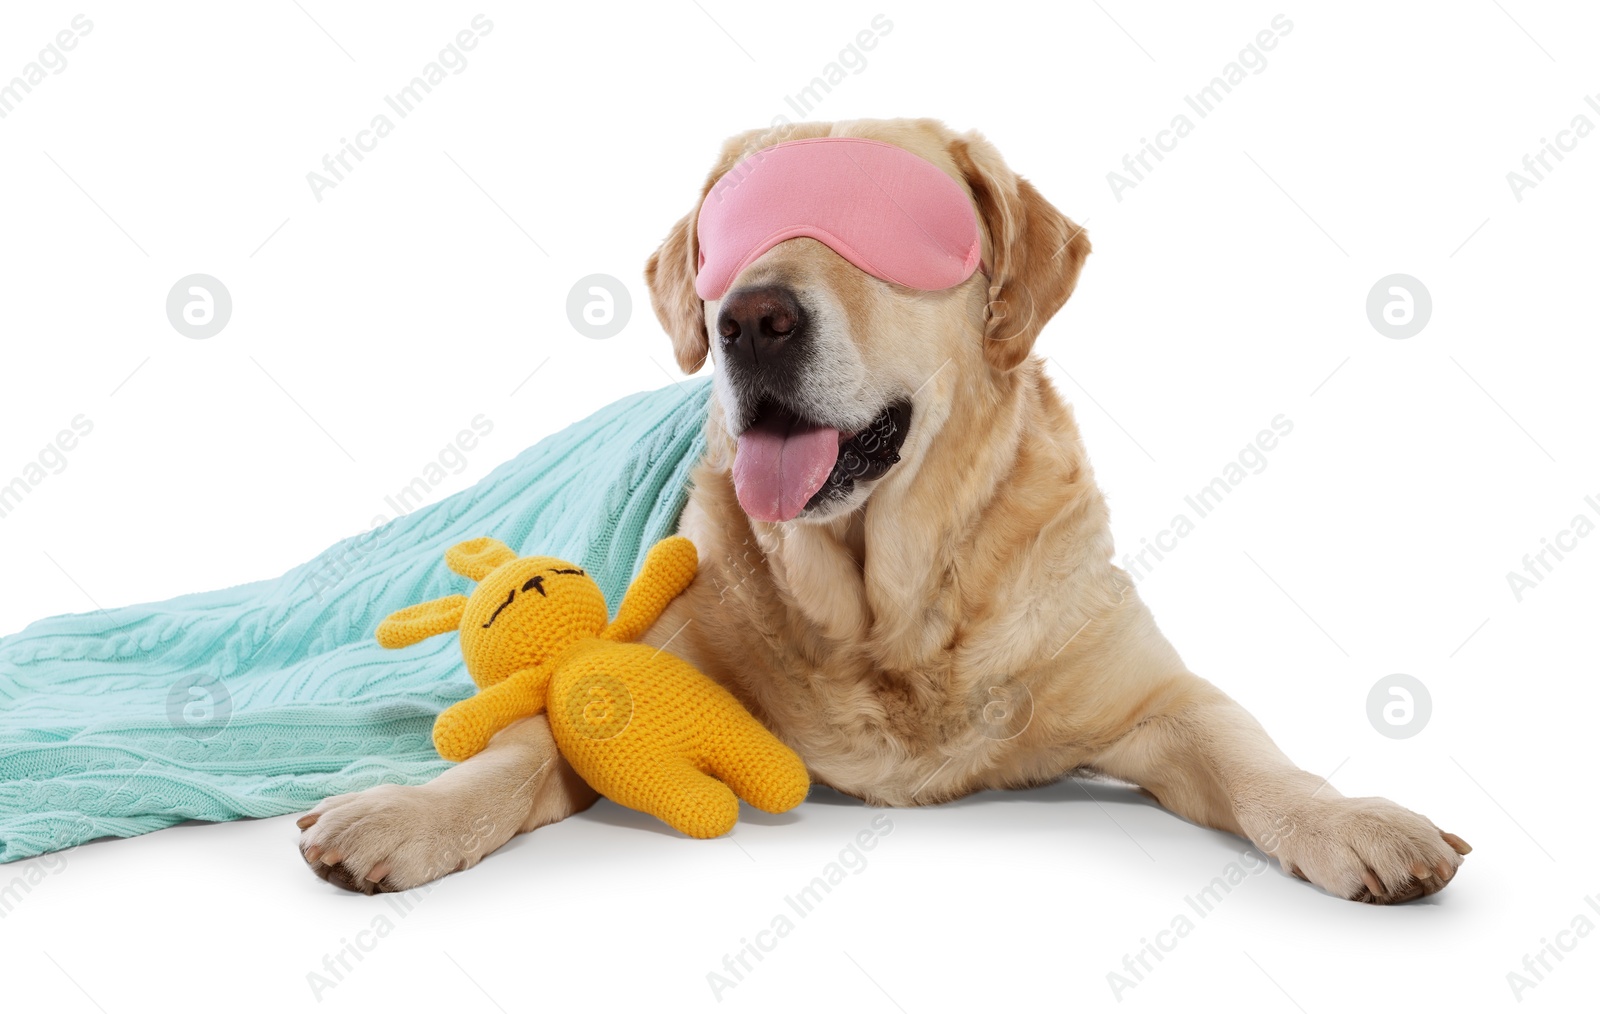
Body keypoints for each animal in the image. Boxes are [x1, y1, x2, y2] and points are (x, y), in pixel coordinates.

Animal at [294, 116, 1465, 902]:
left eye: (888, 231)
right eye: (727, 238)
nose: (749, 317)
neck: (891, 609)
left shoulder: (1157, 697)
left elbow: (1255, 757)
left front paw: (1355, 820)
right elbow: (527, 745)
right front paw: (406, 810)